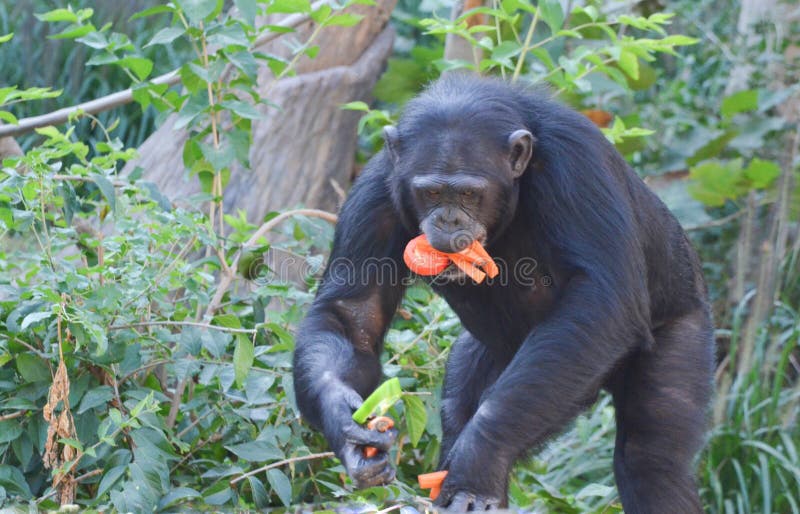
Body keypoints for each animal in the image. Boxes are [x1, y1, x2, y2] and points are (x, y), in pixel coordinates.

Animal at [292, 73, 712, 512]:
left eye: (468, 194)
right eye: (431, 193)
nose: (448, 220)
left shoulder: (579, 163)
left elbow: (602, 298)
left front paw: (480, 458)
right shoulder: (374, 193)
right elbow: (352, 314)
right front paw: (345, 422)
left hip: (682, 323)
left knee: (650, 457)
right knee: (458, 405)